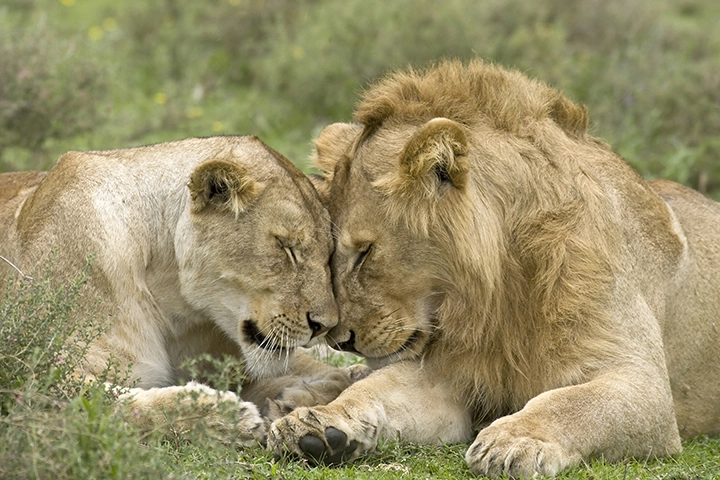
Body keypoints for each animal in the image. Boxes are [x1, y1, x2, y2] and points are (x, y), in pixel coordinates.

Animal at [0, 136, 364, 444]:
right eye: (286, 247)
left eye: (328, 256)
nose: (325, 326)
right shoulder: (32, 365)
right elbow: (108, 402)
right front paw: (222, 416)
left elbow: (330, 376)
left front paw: (297, 401)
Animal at [267, 60, 720, 477]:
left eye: (364, 252)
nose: (339, 339)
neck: (500, 292)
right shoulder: (447, 374)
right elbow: (377, 389)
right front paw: (319, 424)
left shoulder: (644, 386)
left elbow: (571, 401)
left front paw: (515, 439)